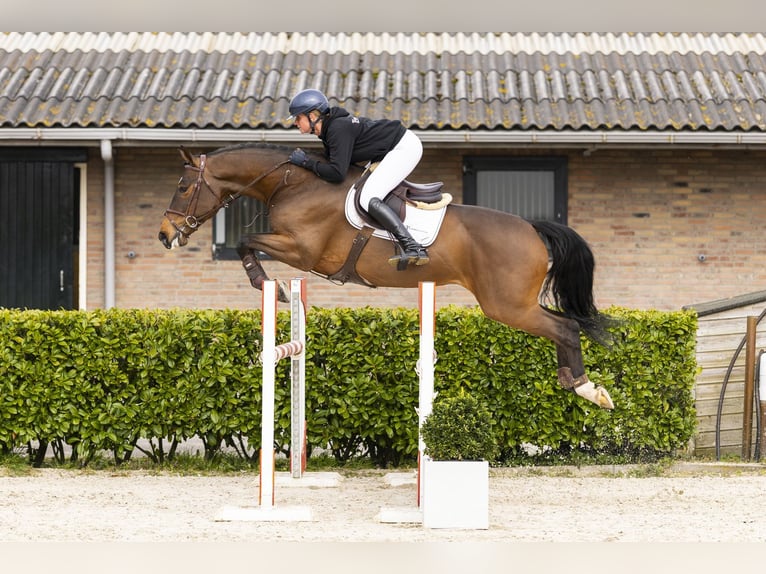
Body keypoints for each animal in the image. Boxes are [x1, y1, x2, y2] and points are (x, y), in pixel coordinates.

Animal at [158, 142, 615, 410]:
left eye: (182, 187)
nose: (165, 235)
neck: (295, 183)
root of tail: (531, 228)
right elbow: (248, 242)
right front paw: (273, 287)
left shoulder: (303, 251)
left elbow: (246, 241)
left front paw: (266, 284)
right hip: (514, 303)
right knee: (563, 327)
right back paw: (575, 383)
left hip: (507, 305)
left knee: (565, 327)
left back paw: (585, 388)